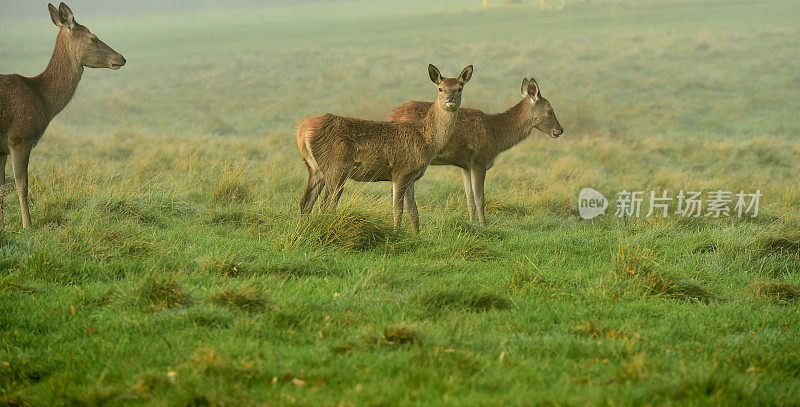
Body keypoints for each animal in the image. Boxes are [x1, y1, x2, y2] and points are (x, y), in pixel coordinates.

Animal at [0, 2, 125, 230]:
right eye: (92, 37)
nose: (121, 57)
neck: (42, 98)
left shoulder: (2, 149)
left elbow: (2, 188)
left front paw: (3, 225)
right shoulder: (19, 138)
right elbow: (22, 185)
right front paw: (27, 225)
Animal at [300, 65, 476, 234]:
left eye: (460, 88)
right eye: (440, 88)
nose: (450, 100)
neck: (426, 141)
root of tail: (303, 131)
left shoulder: (412, 176)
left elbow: (414, 211)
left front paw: (417, 237)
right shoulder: (400, 171)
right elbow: (397, 210)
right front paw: (396, 234)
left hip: (315, 168)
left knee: (305, 202)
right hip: (335, 167)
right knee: (325, 205)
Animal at [388, 76, 564, 226]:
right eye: (550, 110)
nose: (559, 130)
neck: (497, 135)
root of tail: (391, 115)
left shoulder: (465, 165)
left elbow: (469, 198)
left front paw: (473, 224)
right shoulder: (480, 159)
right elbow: (480, 198)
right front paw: (484, 225)